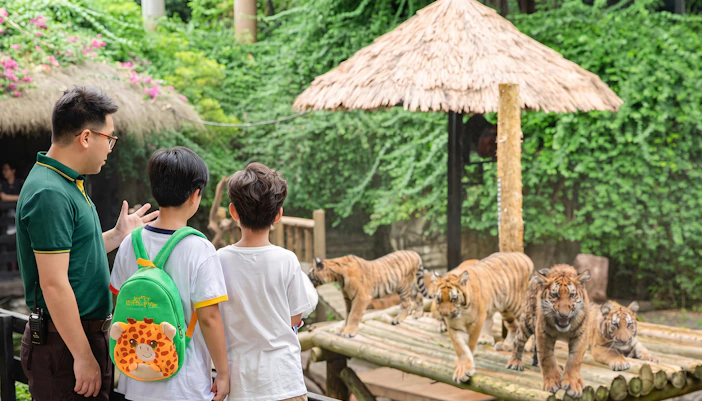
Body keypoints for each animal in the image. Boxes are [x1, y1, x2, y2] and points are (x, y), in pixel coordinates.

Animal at [430, 253, 534, 384]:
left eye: (453, 299)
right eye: (439, 299)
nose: (445, 315)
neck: (462, 311)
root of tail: (523, 256)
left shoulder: (477, 321)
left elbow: (469, 344)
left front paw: (465, 370)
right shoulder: (454, 326)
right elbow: (461, 349)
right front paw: (461, 366)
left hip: (518, 304)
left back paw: (528, 345)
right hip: (506, 309)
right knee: (513, 326)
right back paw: (507, 345)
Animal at [525, 264, 591, 397]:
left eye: (572, 295)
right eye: (555, 295)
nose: (563, 314)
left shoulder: (581, 335)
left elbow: (574, 360)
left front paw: (572, 385)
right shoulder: (543, 333)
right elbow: (547, 358)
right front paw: (552, 383)